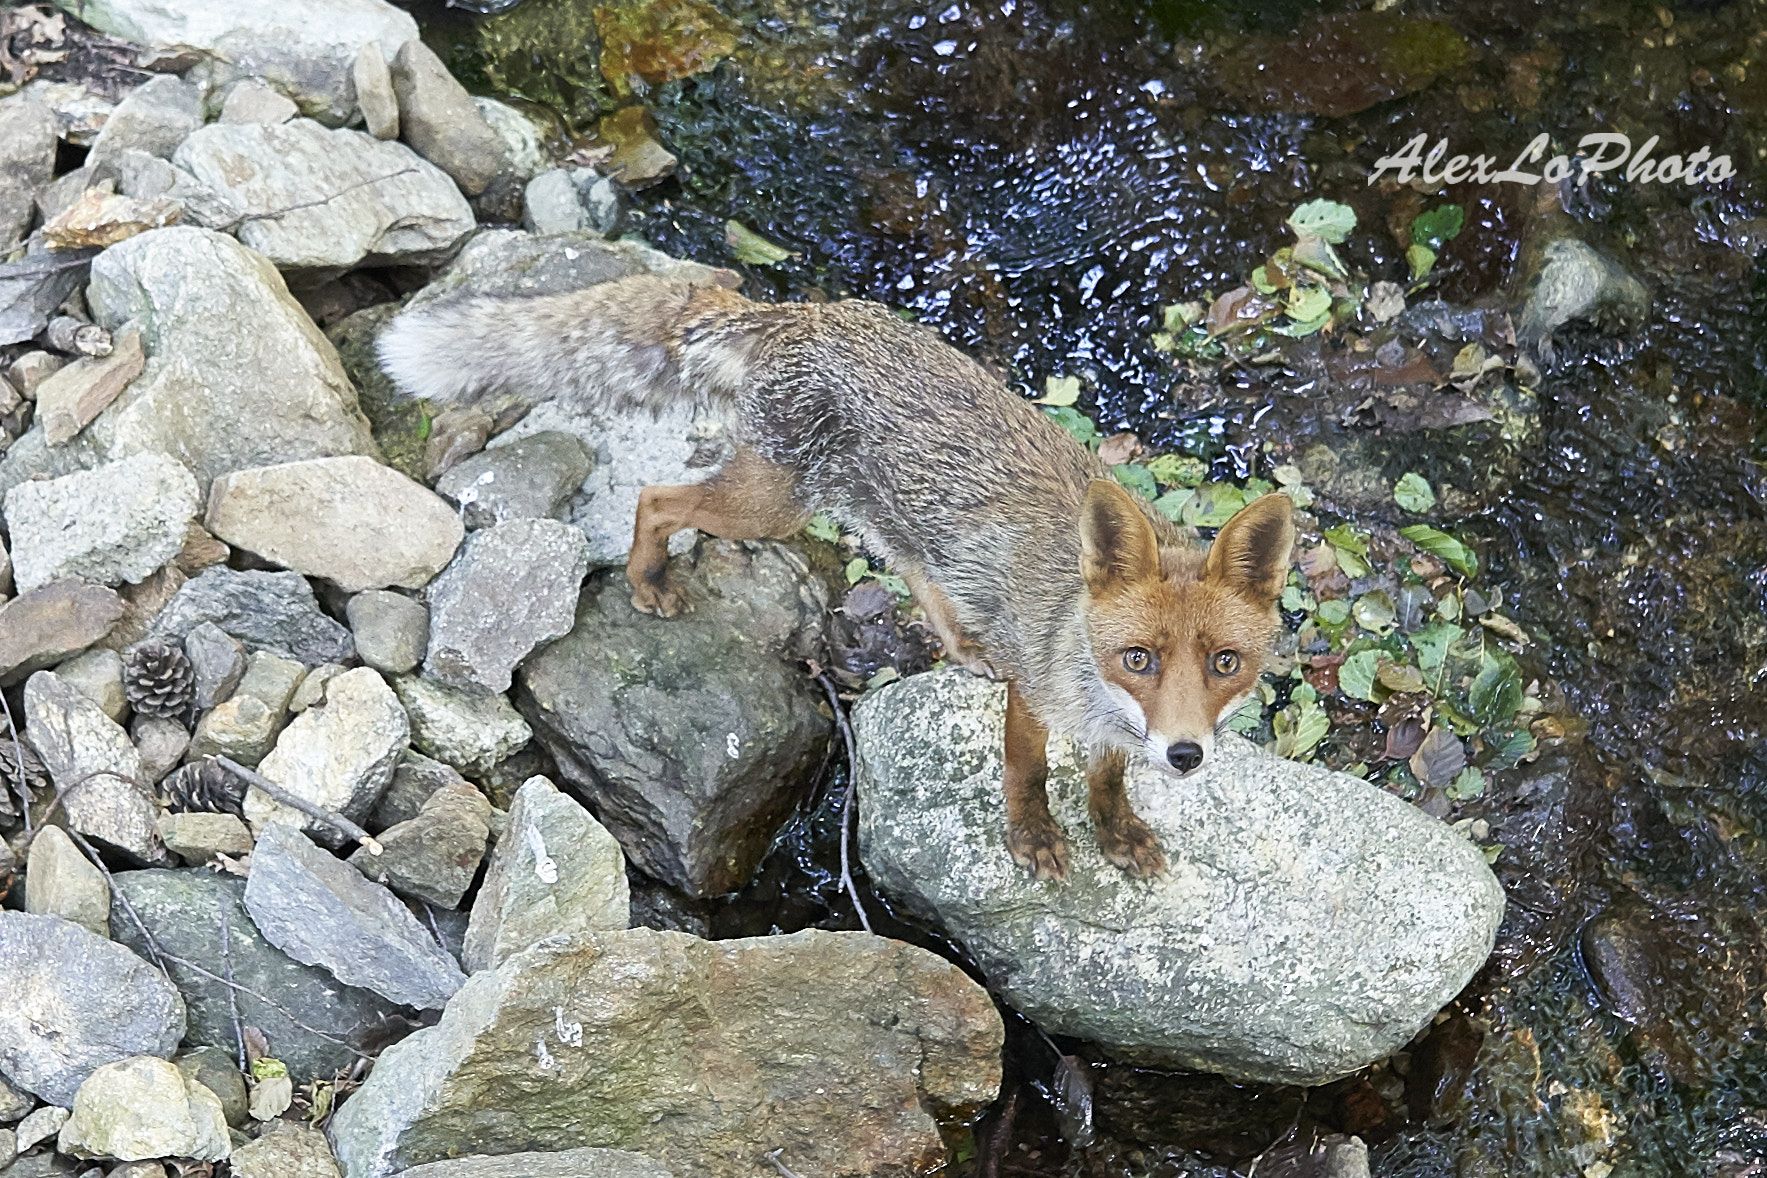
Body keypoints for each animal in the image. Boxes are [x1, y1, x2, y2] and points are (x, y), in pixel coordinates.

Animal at [378, 274, 1296, 881]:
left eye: (1224, 665)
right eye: (1137, 659)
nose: (1184, 755)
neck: (1081, 664)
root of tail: (803, 311)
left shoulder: (1106, 730)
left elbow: (1105, 783)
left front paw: (1119, 834)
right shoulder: (1037, 697)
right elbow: (1027, 774)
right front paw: (1034, 839)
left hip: (870, 508)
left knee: (912, 563)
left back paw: (961, 642)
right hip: (772, 507)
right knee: (656, 498)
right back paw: (648, 582)